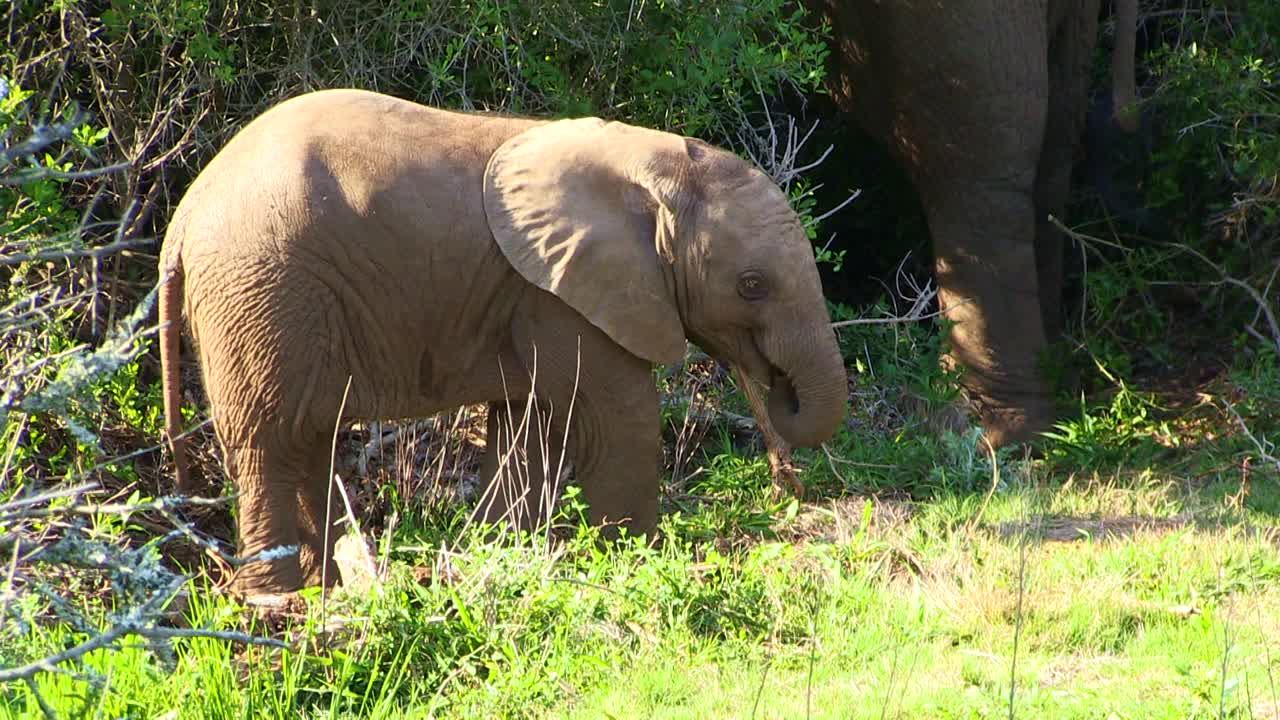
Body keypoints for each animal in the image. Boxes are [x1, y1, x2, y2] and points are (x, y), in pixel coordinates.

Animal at [157, 87, 849, 591]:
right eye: (753, 285)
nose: (789, 487)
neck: (648, 160)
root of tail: (182, 219)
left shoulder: (534, 292)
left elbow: (531, 421)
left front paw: (501, 553)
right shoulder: (558, 292)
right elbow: (620, 413)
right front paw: (639, 557)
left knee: (309, 439)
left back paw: (330, 583)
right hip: (263, 293)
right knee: (271, 441)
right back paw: (278, 601)